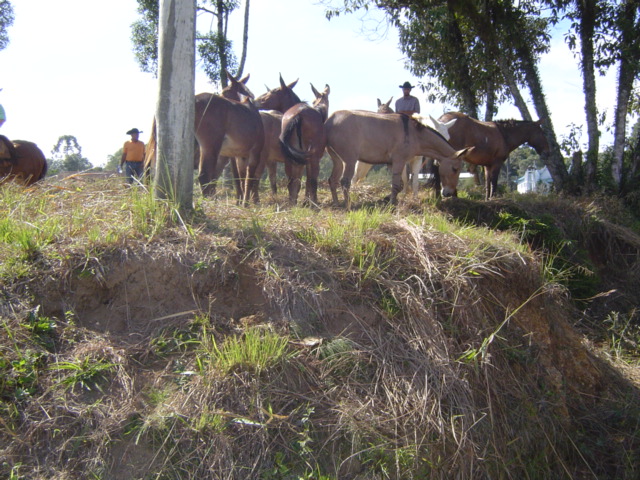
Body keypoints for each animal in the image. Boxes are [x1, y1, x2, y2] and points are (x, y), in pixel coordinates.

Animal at [325, 110, 472, 209]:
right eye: (455, 169)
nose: (448, 193)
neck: (416, 134)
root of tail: (330, 120)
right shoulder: (399, 161)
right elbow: (396, 185)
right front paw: (391, 205)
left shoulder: (393, 163)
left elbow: (400, 185)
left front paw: (391, 200)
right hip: (350, 160)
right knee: (345, 181)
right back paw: (348, 205)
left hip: (337, 160)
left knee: (332, 180)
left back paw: (336, 203)